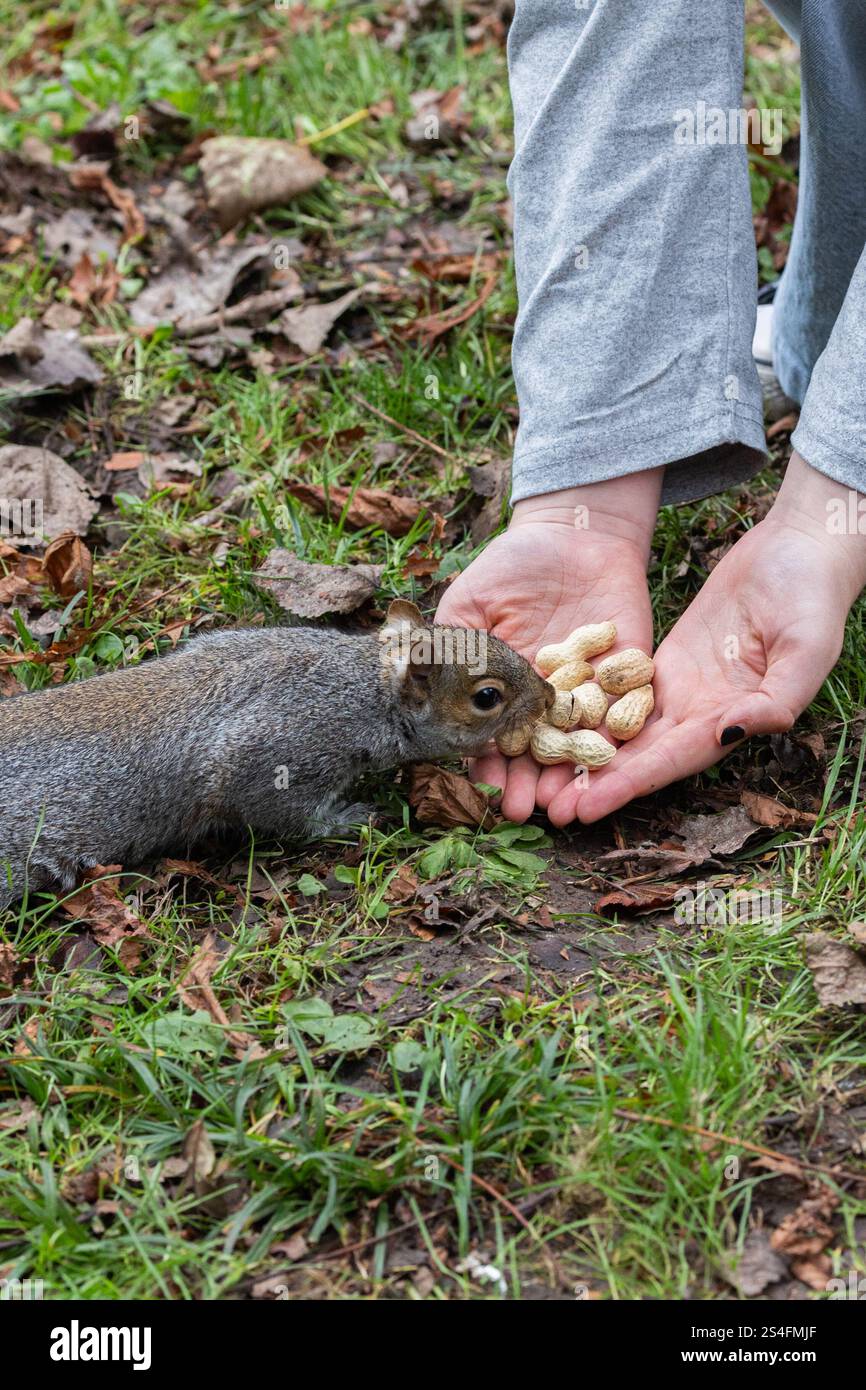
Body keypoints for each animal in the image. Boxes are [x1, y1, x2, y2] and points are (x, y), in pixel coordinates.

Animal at [0, 600, 553, 908]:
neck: (364, 688)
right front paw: (350, 819)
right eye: (487, 697)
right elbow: (283, 814)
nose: (548, 697)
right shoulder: (277, 756)